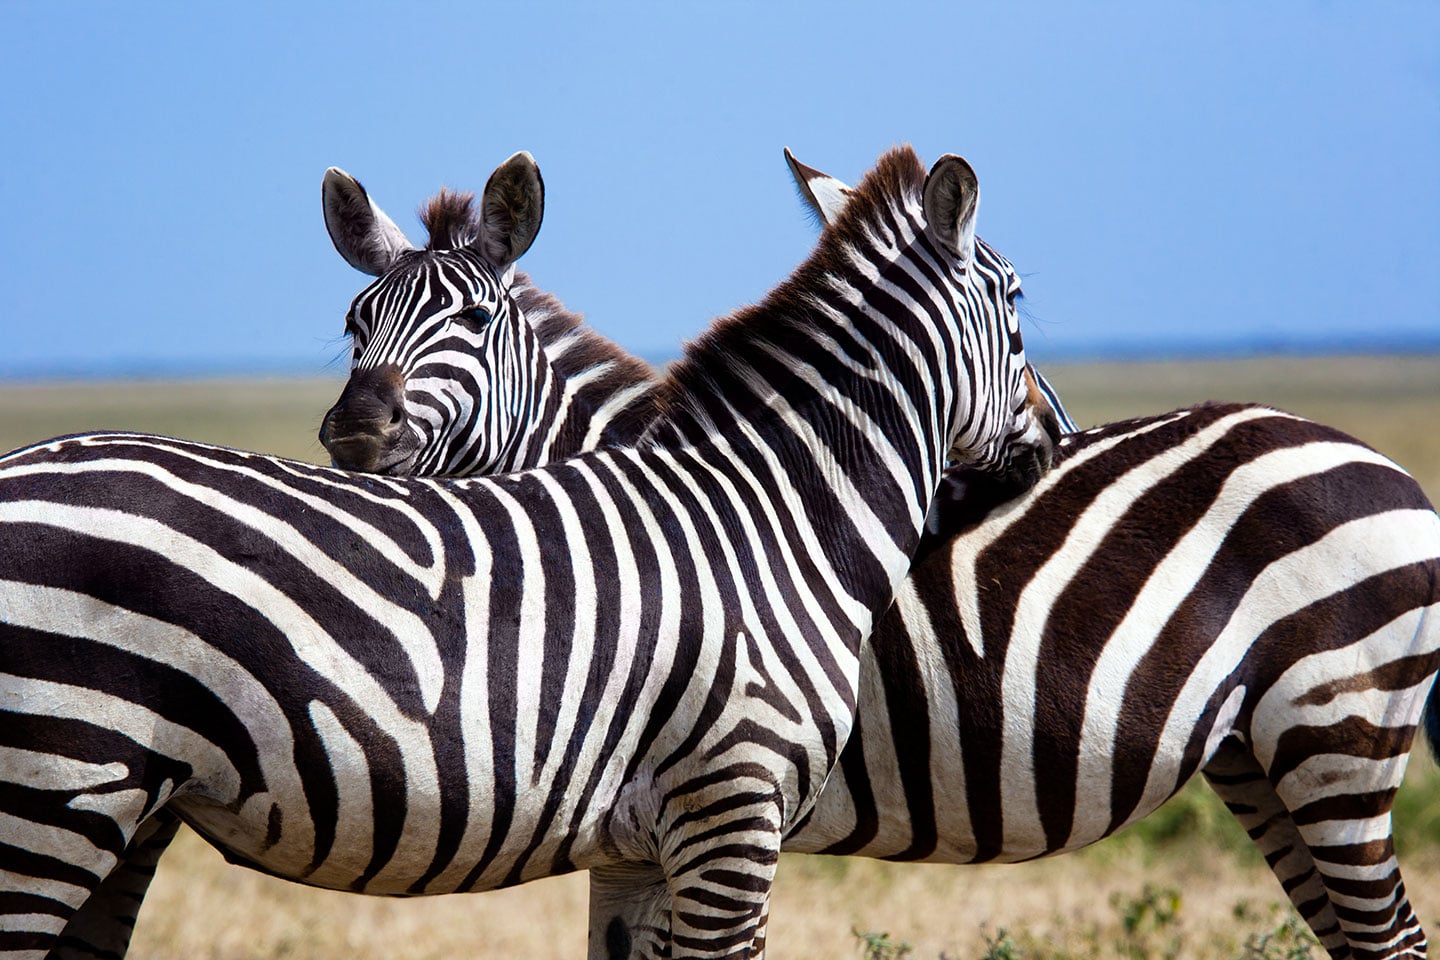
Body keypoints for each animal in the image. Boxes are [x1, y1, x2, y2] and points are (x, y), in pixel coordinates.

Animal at [0, 145, 1055, 960]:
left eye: (473, 320)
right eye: (1015, 300)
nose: (1052, 438)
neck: (770, 515)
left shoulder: (639, 847)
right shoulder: (732, 806)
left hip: (127, 814)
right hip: (54, 789)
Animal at [321, 151, 1440, 959]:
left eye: (472, 321)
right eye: (353, 324)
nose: (352, 435)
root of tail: (1390, 468)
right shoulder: (640, 817)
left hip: (1336, 731)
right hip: (1261, 757)